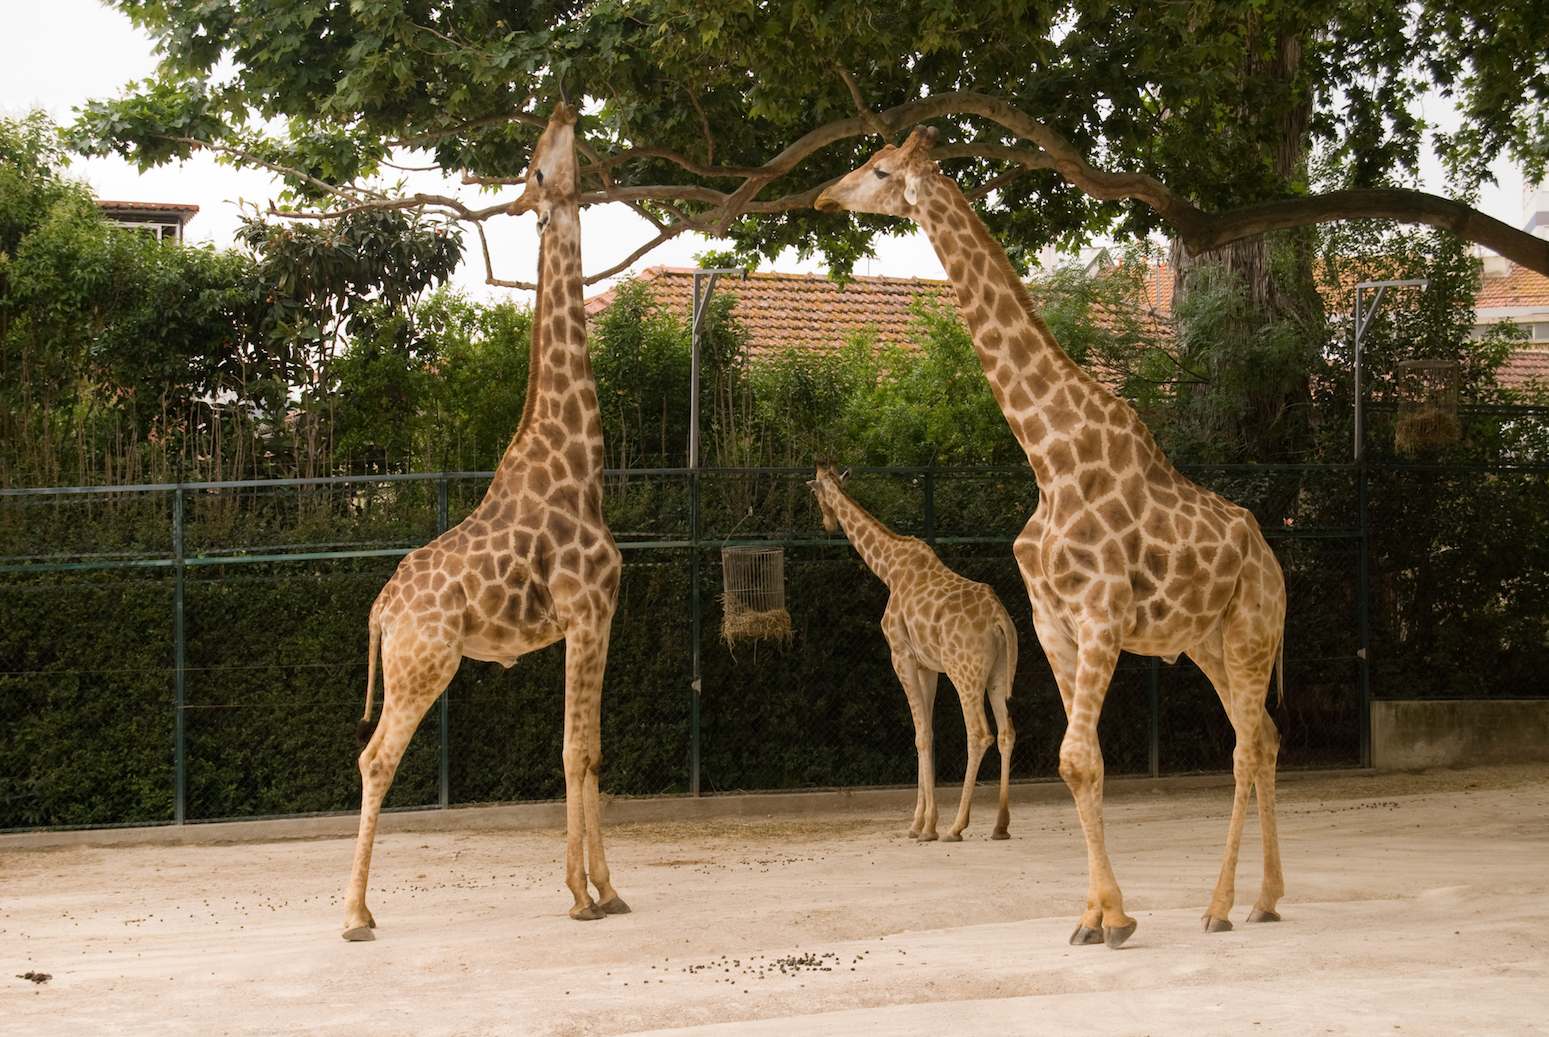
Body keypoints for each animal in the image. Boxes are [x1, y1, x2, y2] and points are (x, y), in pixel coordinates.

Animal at [341, 102, 627, 940]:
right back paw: (355, 913)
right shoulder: (585, 610)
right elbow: (573, 751)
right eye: (536, 167)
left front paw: (608, 888)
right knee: (375, 757)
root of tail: (379, 612)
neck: (579, 466)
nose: (564, 105)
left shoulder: (597, 617)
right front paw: (579, 893)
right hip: (422, 664)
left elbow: (592, 749)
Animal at [808, 463, 1017, 842]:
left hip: (965, 673)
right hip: (999, 673)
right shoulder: (927, 666)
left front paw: (927, 826)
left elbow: (920, 735)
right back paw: (1000, 825)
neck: (889, 569)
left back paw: (956, 826)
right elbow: (928, 734)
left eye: (814, 492)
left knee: (980, 733)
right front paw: (920, 822)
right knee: (1007, 732)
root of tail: (999, 620)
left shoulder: (901, 656)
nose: (827, 523)